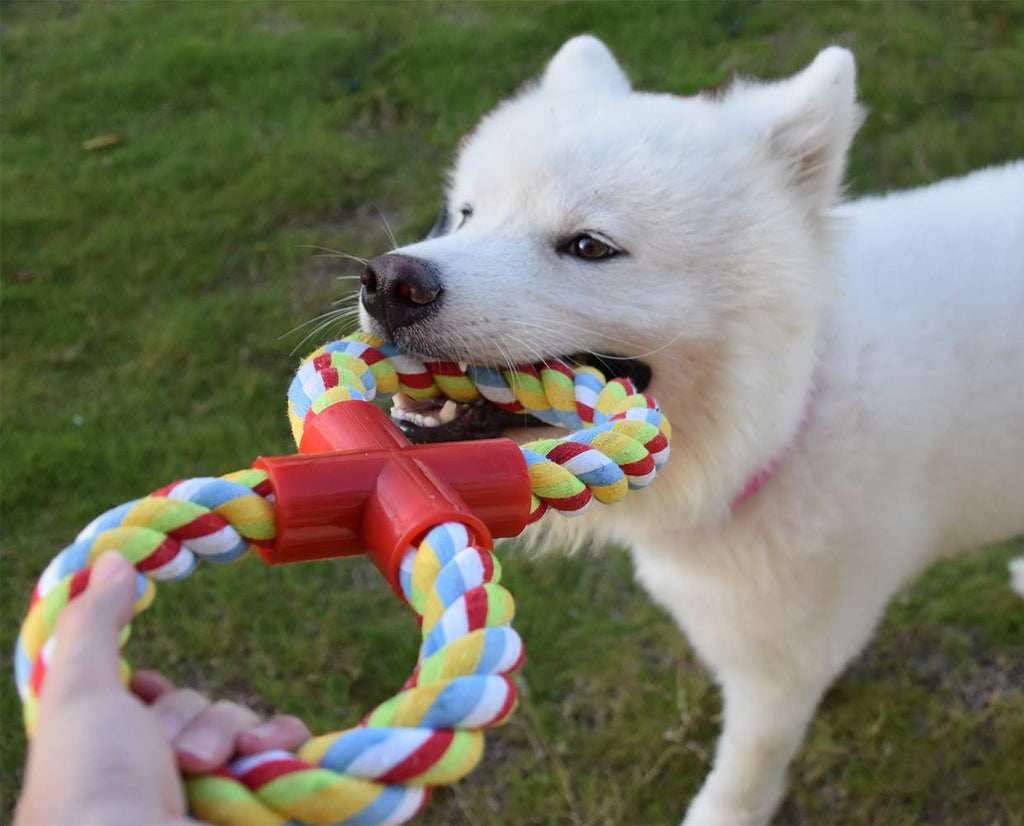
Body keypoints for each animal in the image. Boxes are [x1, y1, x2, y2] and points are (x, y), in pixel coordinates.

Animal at [354, 37, 1024, 826]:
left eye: (590, 246)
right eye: (464, 216)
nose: (388, 281)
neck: (790, 412)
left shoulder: (781, 666)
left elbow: (744, 768)